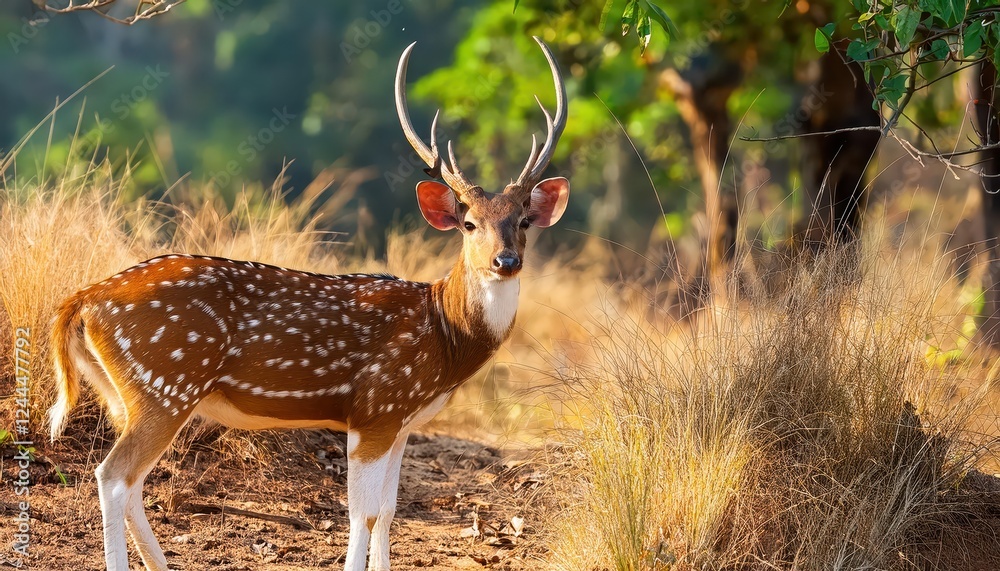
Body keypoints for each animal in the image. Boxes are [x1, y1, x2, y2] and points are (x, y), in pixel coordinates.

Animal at [47, 36, 567, 571]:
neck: (445, 338)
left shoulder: (401, 422)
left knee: (130, 482)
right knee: (113, 476)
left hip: (121, 393)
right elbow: (362, 513)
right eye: (469, 224)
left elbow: (388, 510)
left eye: (523, 220)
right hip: (165, 384)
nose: (506, 260)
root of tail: (83, 300)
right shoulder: (377, 407)